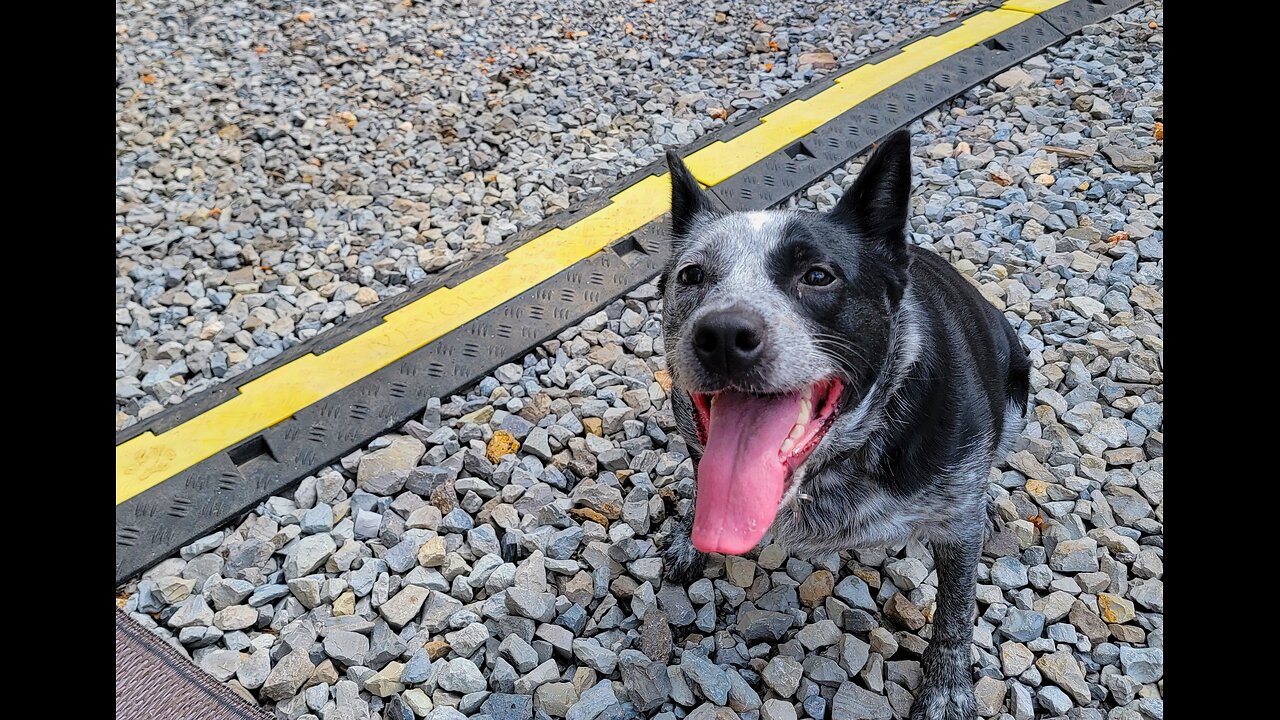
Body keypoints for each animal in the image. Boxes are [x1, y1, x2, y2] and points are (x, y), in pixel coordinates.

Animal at [660, 130, 1029, 717]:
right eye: (692, 275)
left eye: (818, 276)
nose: (722, 335)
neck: (835, 463)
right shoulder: (693, 434)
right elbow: (703, 482)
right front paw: (690, 539)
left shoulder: (956, 525)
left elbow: (955, 612)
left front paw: (946, 689)